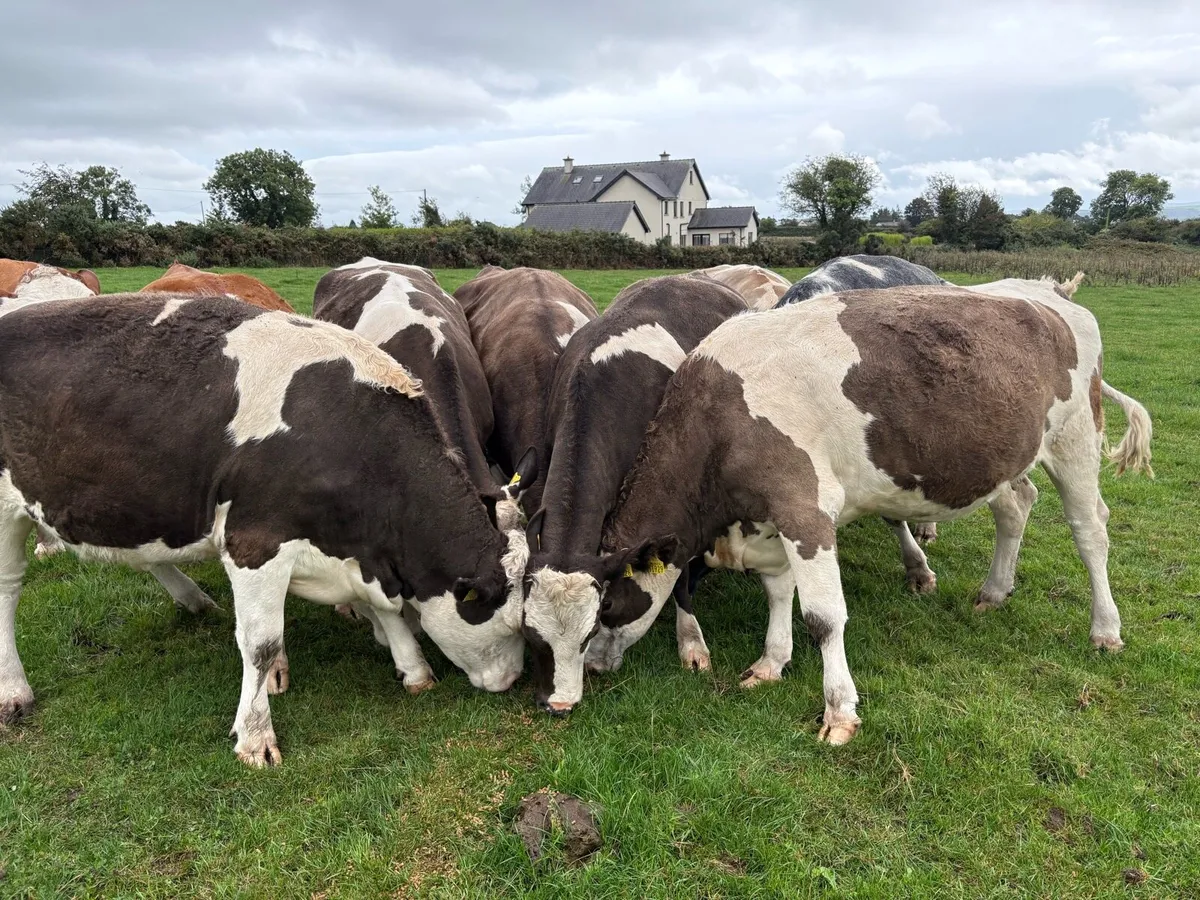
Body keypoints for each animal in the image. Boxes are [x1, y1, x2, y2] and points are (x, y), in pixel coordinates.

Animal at [0, 294, 530, 766]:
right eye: (509, 623)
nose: (512, 681)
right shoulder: (255, 541)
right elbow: (261, 644)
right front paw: (255, 737)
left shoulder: (354, 549)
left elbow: (386, 609)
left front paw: (413, 667)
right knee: (6, 590)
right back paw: (14, 691)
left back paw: (192, 598)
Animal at [545, 284, 1153, 740]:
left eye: (604, 611)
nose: (585, 676)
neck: (719, 416)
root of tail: (1049, 292)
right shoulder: (772, 518)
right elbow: (778, 593)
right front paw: (771, 663)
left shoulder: (804, 509)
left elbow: (823, 616)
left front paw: (839, 709)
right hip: (1005, 457)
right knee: (1017, 506)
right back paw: (994, 591)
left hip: (1076, 438)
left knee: (1090, 532)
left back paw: (1105, 628)